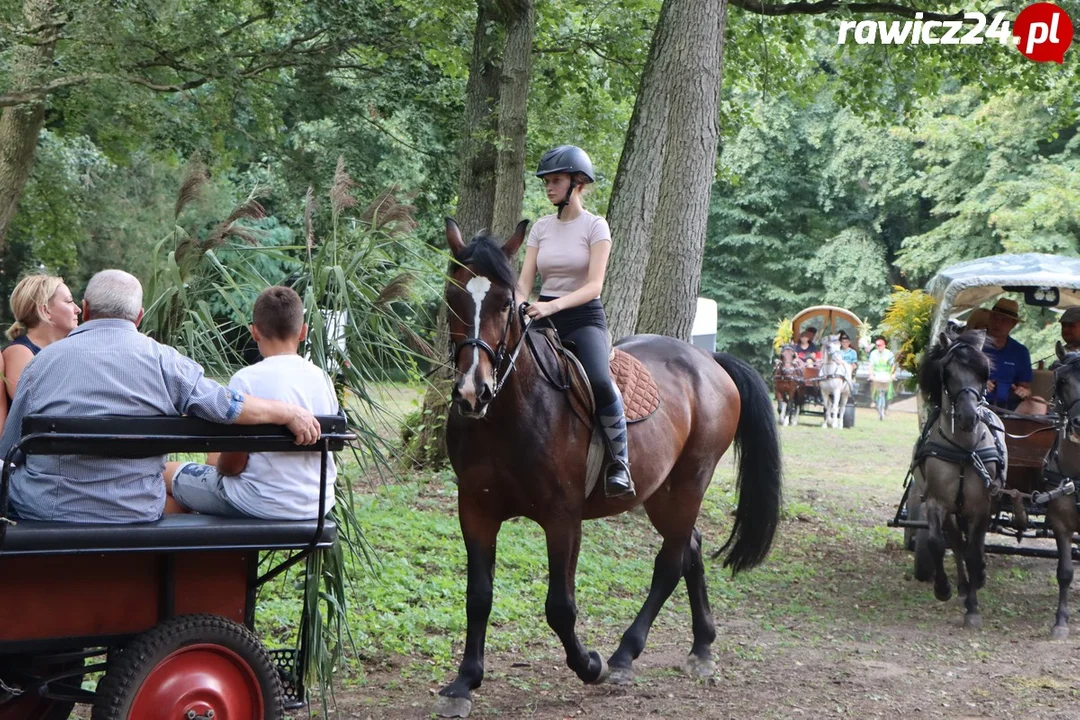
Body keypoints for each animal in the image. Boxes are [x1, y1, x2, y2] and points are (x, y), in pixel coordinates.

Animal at [434, 221, 781, 720]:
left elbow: (560, 607)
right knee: (690, 548)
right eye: (453, 296)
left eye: (504, 301)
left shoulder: (563, 517)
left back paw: (622, 656)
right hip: (661, 492)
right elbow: (478, 596)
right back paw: (701, 648)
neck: (511, 413)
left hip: (689, 482)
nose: (471, 391)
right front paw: (463, 683)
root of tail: (709, 362)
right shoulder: (476, 510)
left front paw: (590, 665)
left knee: (670, 561)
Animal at [915, 332, 1006, 630]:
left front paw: (973, 609)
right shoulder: (936, 502)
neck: (966, 450)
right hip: (953, 509)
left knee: (971, 545)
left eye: (982, 373)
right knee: (956, 541)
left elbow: (974, 552)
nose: (968, 417)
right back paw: (964, 586)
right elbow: (937, 543)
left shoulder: (982, 506)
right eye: (949, 373)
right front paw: (943, 588)